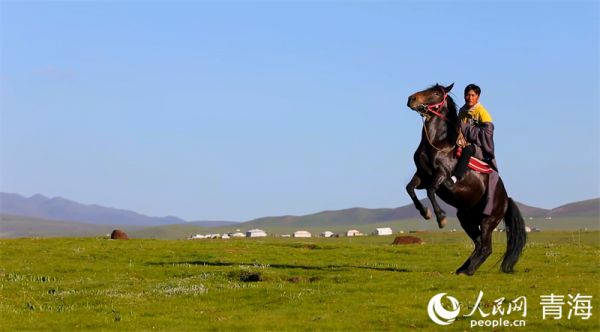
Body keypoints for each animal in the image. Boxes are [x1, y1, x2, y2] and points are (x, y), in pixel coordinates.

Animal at [406, 83, 528, 274]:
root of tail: (506, 199)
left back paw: (468, 271)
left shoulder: (441, 174)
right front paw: (425, 212)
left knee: (486, 247)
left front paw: (440, 218)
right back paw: (463, 268)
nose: (411, 99)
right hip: (466, 218)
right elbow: (410, 188)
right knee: (478, 243)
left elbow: (431, 190)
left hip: (488, 221)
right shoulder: (421, 174)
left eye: (436, 93)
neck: (438, 144)